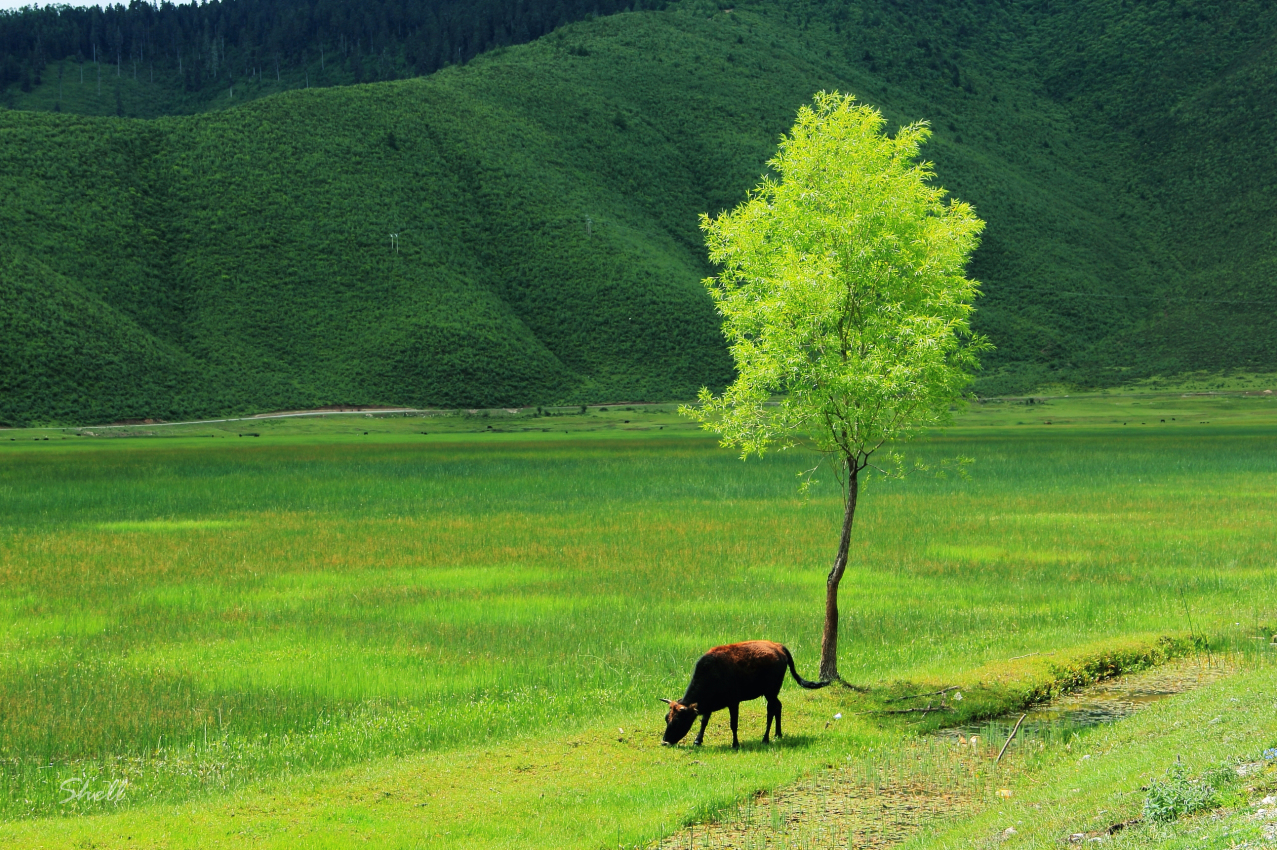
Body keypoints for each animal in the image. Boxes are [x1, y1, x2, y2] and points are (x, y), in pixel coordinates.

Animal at [658, 638, 827, 745]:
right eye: (667, 718)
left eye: (678, 720)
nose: (665, 741)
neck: (712, 673)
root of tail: (778, 647)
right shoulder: (709, 703)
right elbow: (704, 721)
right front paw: (698, 740)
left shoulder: (734, 702)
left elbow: (733, 724)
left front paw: (735, 744)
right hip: (771, 692)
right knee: (778, 707)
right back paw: (778, 734)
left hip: (771, 691)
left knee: (771, 710)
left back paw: (765, 739)